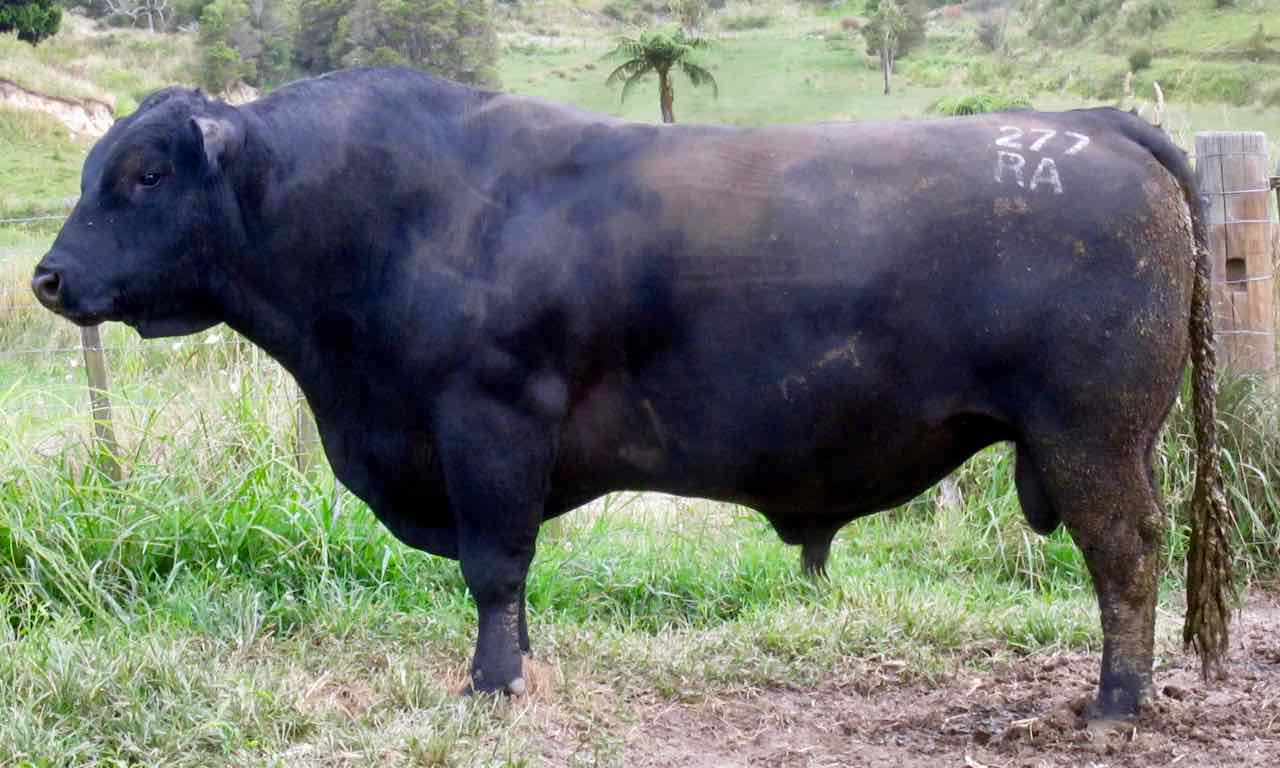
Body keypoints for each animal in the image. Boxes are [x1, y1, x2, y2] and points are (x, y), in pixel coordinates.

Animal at [31, 67, 1233, 721]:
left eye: (143, 176)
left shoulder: (490, 420)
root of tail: (1093, 124)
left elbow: (493, 567)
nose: (46, 277)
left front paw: (491, 685)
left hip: (1090, 436)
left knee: (1125, 552)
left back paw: (1115, 703)